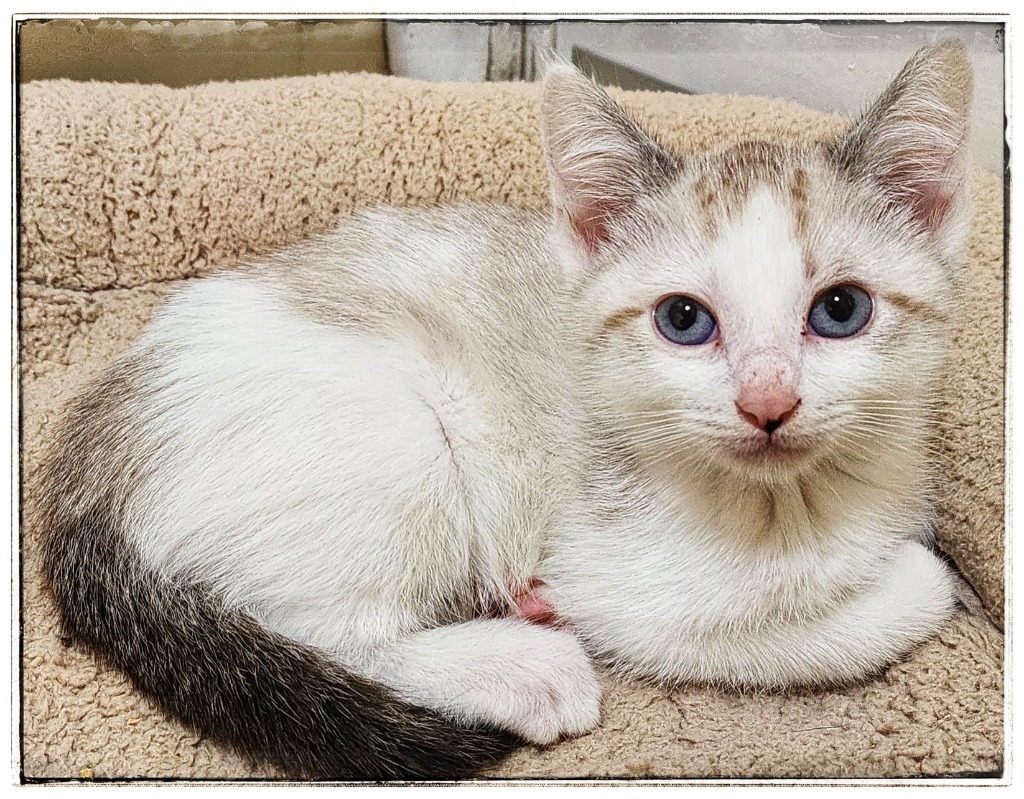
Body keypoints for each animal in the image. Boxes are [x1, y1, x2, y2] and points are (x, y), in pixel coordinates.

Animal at [37, 40, 966, 778]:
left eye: (841, 310)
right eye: (682, 320)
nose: (767, 400)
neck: (793, 505)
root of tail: (88, 456)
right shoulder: (620, 584)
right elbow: (817, 625)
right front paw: (910, 580)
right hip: (402, 433)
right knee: (335, 629)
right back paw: (523, 667)